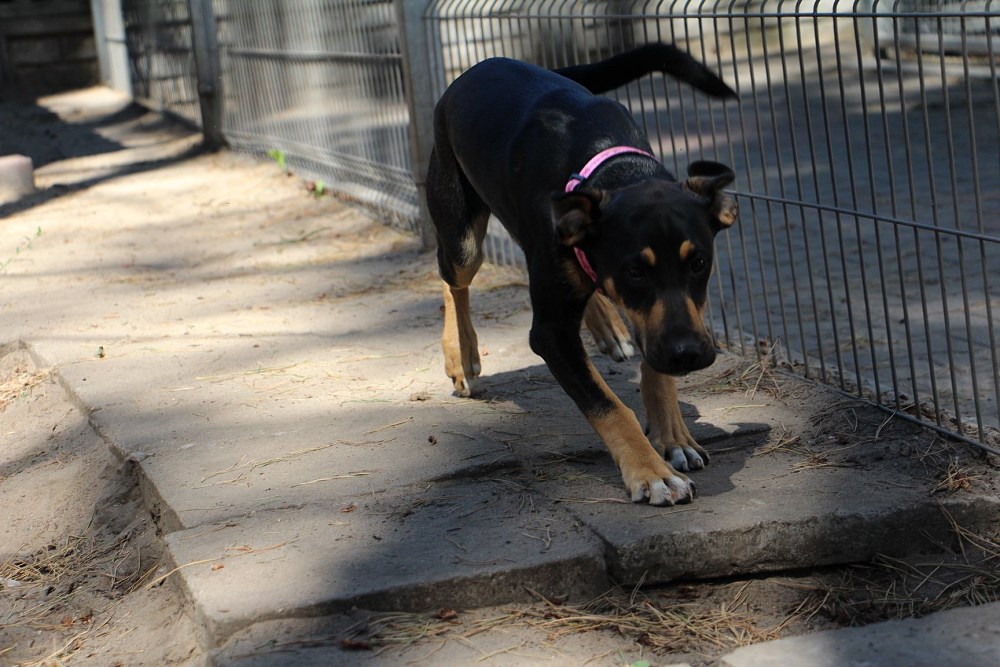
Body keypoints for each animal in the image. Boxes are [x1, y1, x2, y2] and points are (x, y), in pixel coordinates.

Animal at [427, 43, 738, 506]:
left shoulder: (665, 316)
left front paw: (673, 437)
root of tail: (480, 66)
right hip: (460, 233)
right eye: (634, 271)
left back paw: (606, 326)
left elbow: (654, 362)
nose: (688, 355)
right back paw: (460, 354)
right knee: (453, 278)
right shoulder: (550, 333)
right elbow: (607, 405)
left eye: (699, 263)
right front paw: (651, 473)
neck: (614, 168)